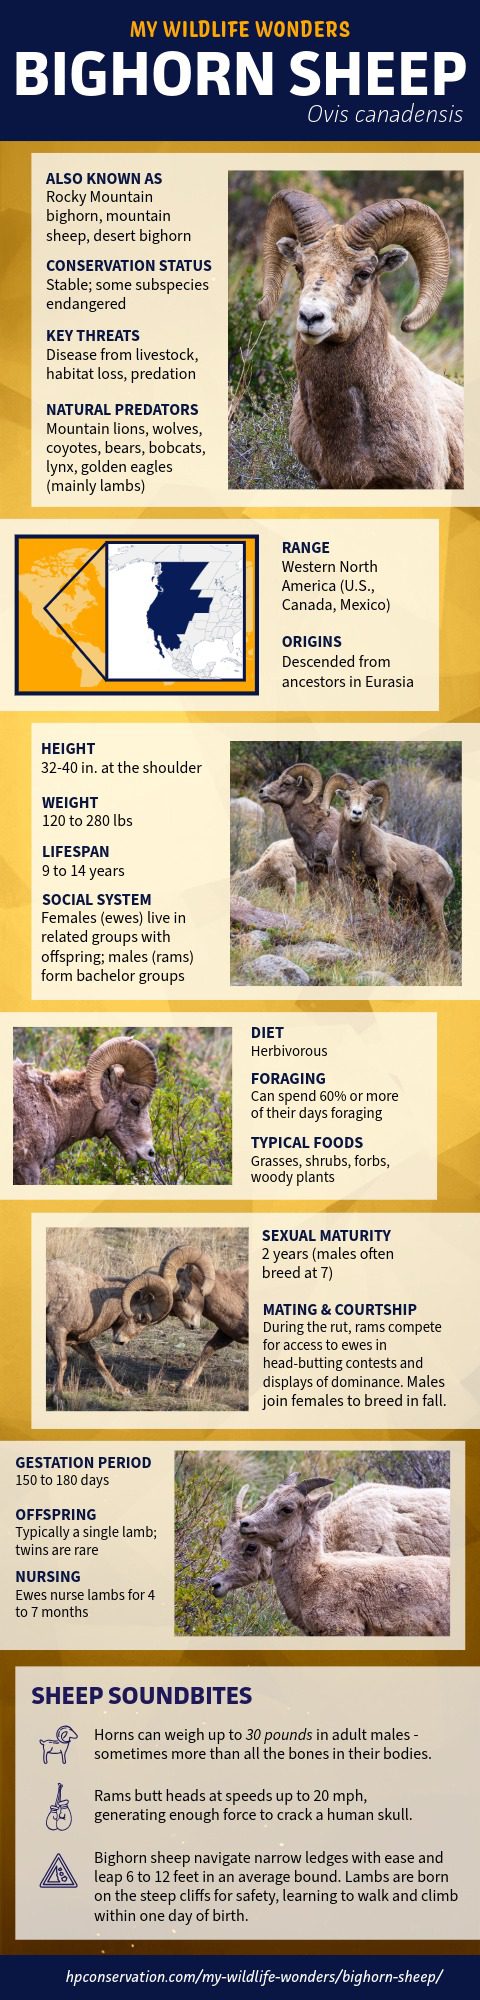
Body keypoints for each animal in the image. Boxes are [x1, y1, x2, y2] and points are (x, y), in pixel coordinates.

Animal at [46, 1258, 172, 1404]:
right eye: (142, 1317)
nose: (121, 1341)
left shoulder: (76, 1340)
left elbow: (97, 1359)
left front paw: (122, 1390)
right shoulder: (56, 1330)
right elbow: (62, 1361)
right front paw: (58, 1398)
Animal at [322, 771, 454, 942]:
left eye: (369, 802)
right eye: (347, 798)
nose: (357, 813)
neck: (355, 850)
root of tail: (449, 871)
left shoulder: (384, 872)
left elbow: (382, 901)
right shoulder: (355, 879)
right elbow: (359, 902)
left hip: (433, 900)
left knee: (443, 934)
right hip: (417, 906)